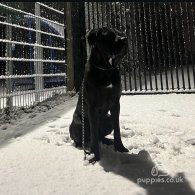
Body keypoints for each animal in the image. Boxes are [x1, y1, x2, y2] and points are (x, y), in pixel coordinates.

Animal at [69, 27, 129, 161]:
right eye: (107, 34)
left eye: (119, 33)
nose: (124, 39)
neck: (106, 69)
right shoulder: (92, 107)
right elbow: (94, 133)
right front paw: (95, 155)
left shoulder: (115, 104)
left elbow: (117, 128)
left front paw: (120, 148)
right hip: (79, 123)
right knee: (84, 138)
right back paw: (83, 147)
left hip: (108, 119)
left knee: (100, 136)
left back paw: (107, 141)